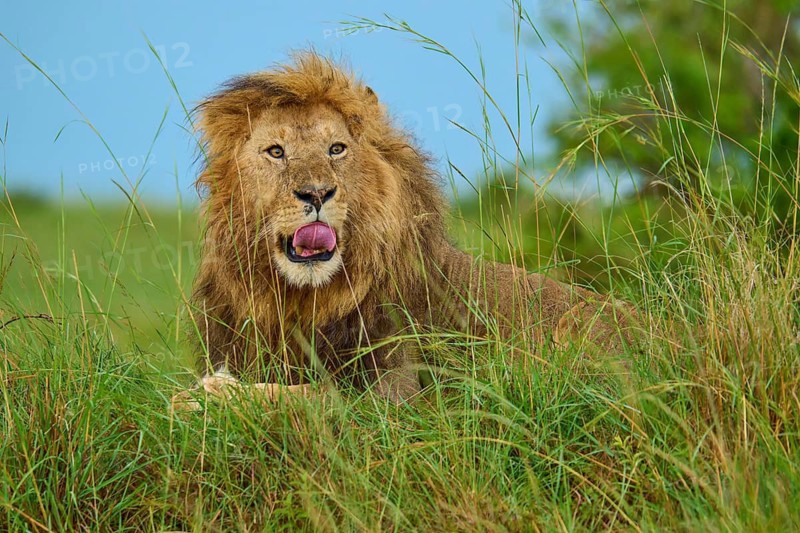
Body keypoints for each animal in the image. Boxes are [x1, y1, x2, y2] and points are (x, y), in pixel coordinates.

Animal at [187, 52, 639, 404]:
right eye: (276, 152)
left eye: (336, 149)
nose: (316, 194)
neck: (302, 299)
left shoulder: (398, 391)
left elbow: (316, 396)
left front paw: (217, 393)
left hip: (582, 323)